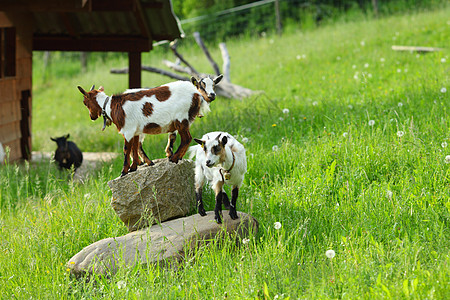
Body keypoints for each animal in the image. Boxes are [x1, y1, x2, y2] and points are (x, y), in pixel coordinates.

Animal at [80, 75, 224, 177]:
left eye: (84, 102)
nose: (92, 117)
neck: (111, 106)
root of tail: (196, 94)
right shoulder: (135, 131)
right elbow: (134, 148)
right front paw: (133, 168)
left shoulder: (128, 130)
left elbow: (126, 150)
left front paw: (124, 172)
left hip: (181, 119)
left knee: (187, 138)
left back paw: (174, 158)